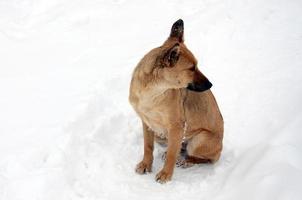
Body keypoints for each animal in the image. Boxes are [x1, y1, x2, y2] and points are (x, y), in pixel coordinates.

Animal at [129, 19, 223, 184]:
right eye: (192, 68)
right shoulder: (147, 122)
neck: (153, 91)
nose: (210, 85)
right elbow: (148, 146)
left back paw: (185, 161)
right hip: (162, 135)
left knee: (204, 159)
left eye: (196, 66)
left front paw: (166, 174)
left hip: (200, 139)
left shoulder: (177, 126)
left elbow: (172, 154)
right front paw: (146, 164)